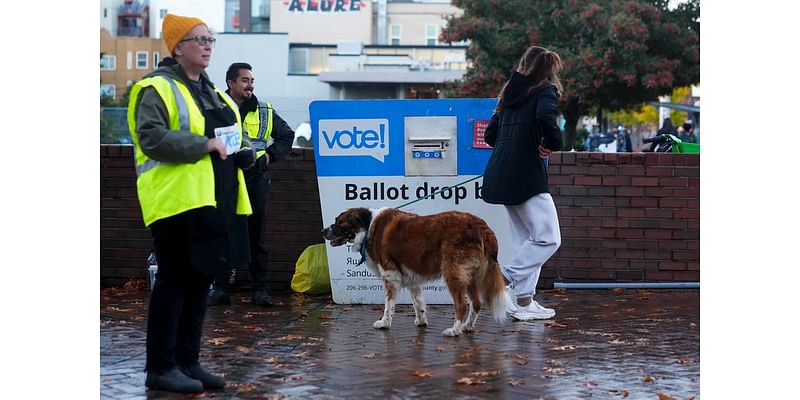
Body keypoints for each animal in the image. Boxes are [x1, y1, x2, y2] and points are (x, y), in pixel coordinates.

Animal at [322, 208, 510, 336]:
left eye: (339, 221)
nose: (323, 231)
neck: (369, 229)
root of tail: (481, 225)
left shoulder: (391, 276)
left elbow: (388, 305)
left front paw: (384, 323)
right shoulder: (412, 279)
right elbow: (418, 303)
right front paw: (421, 321)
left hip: (453, 273)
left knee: (462, 305)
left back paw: (454, 330)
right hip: (470, 276)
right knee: (476, 303)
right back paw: (468, 327)